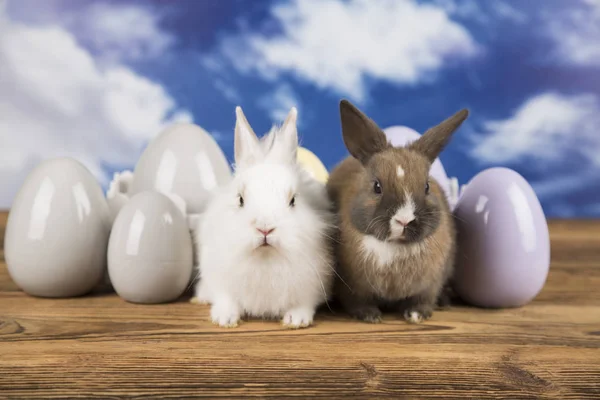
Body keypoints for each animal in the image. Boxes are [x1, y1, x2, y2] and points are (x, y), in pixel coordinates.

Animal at [192, 105, 336, 328]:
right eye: (240, 199)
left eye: (293, 200)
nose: (265, 228)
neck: (265, 259)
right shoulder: (219, 279)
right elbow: (226, 298)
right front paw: (225, 318)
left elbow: (304, 303)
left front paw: (296, 320)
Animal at [328, 100, 468, 324]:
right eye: (377, 186)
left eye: (427, 186)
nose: (405, 220)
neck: (395, 247)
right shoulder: (351, 287)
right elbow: (358, 302)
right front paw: (370, 316)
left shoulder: (431, 284)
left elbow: (424, 299)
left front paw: (416, 315)